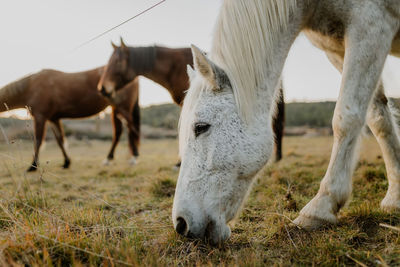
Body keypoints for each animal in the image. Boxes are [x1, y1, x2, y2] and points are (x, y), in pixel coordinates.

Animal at [0, 67, 141, 172]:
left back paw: (133, 157)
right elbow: (60, 140)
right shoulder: (53, 119)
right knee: (119, 132)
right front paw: (66, 163)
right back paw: (112, 159)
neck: (31, 86)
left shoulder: (41, 117)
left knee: (131, 129)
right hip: (115, 109)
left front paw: (33, 166)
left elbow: (38, 141)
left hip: (123, 108)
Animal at [173, 0, 400, 246]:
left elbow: (346, 117)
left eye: (200, 127)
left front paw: (320, 207)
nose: (181, 223)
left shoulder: (371, 25)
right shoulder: (337, 48)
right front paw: (395, 196)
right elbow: (377, 117)